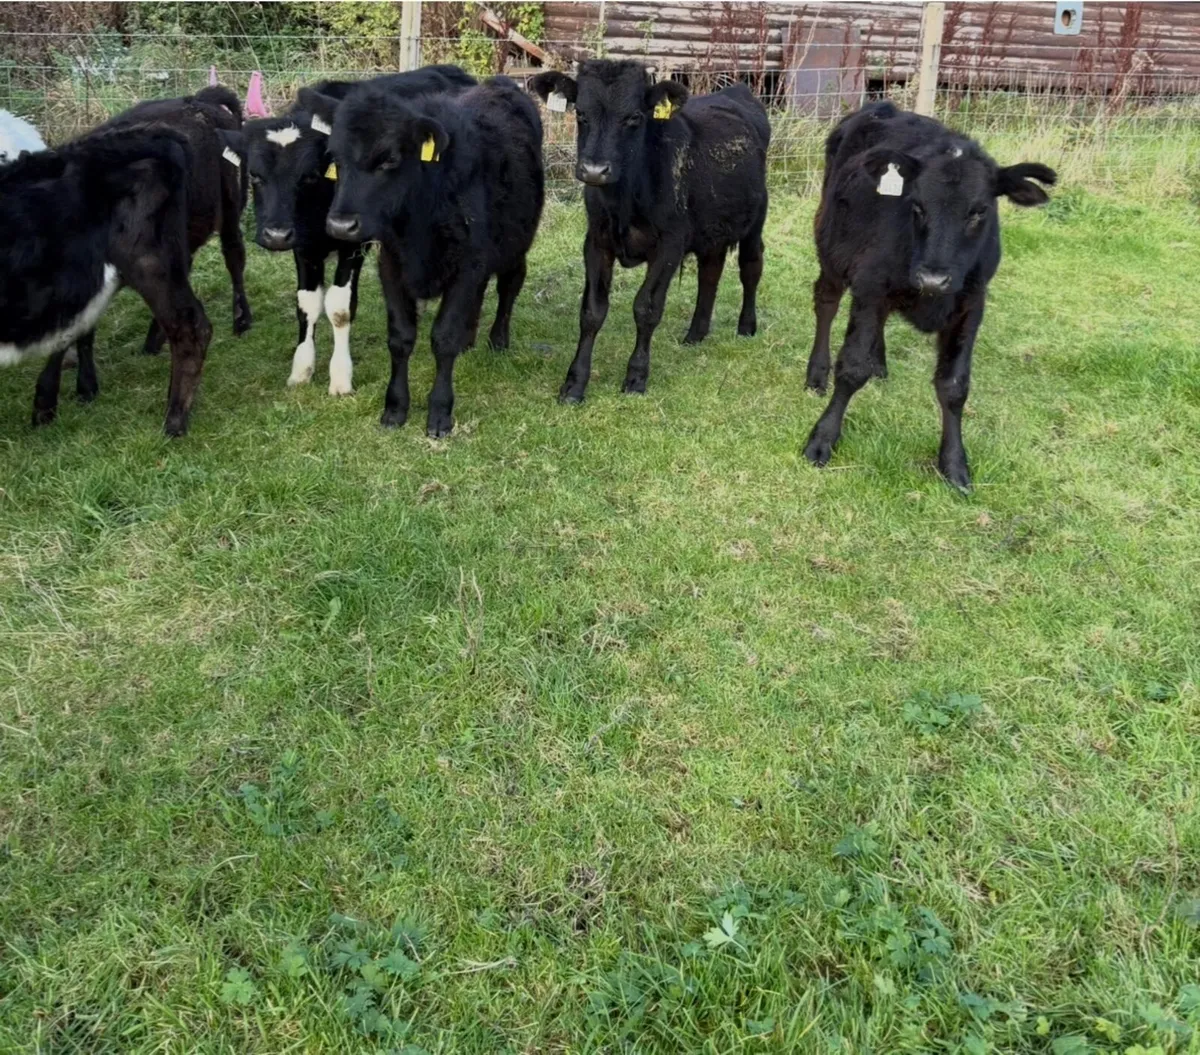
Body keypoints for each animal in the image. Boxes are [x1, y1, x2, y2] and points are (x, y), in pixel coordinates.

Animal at [29, 85, 250, 426]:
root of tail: (198, 100)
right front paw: (84, 386)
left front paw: (48, 399)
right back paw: (155, 340)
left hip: (227, 206)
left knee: (233, 255)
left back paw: (240, 320)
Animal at [223, 65, 476, 396]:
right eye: (255, 175)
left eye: (309, 175)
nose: (276, 235)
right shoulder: (303, 246)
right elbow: (307, 304)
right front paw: (301, 369)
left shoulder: (352, 244)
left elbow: (340, 308)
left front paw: (341, 377)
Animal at [302, 74, 544, 437]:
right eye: (336, 158)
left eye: (389, 159)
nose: (341, 225)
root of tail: (499, 83)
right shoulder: (391, 264)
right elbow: (401, 338)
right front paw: (394, 408)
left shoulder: (467, 264)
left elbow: (443, 337)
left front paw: (440, 412)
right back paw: (470, 339)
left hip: (515, 242)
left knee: (508, 287)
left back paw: (498, 339)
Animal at [529, 60, 770, 403]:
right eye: (581, 114)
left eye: (634, 117)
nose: (594, 171)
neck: (625, 201)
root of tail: (736, 92)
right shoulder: (596, 242)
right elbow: (592, 311)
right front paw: (574, 384)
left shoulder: (669, 244)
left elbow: (646, 308)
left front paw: (636, 377)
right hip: (711, 228)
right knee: (710, 272)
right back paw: (695, 333)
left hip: (755, 218)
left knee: (751, 267)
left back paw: (747, 326)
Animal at [802, 101, 1056, 492]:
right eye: (917, 206)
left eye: (979, 211)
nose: (933, 278)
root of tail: (881, 106)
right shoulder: (870, 285)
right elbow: (851, 368)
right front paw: (823, 438)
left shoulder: (972, 302)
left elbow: (953, 386)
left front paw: (954, 464)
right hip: (830, 245)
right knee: (826, 303)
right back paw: (817, 374)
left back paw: (880, 363)